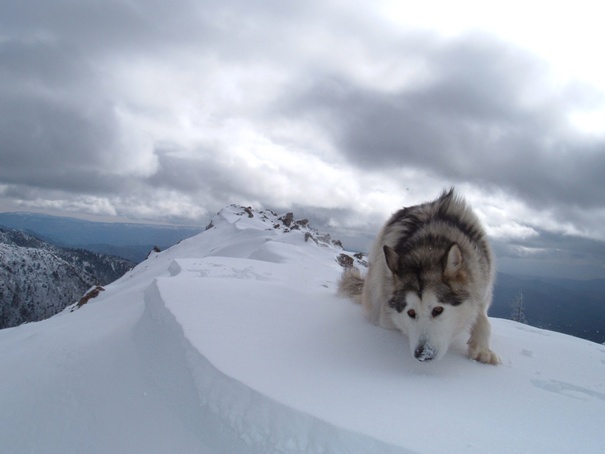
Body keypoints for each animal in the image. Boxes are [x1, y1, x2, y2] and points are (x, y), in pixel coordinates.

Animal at [340, 189, 500, 366]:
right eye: (411, 313)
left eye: (438, 310)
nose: (422, 354)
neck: (428, 248)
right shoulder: (387, 317)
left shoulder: (482, 289)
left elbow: (484, 320)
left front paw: (483, 350)